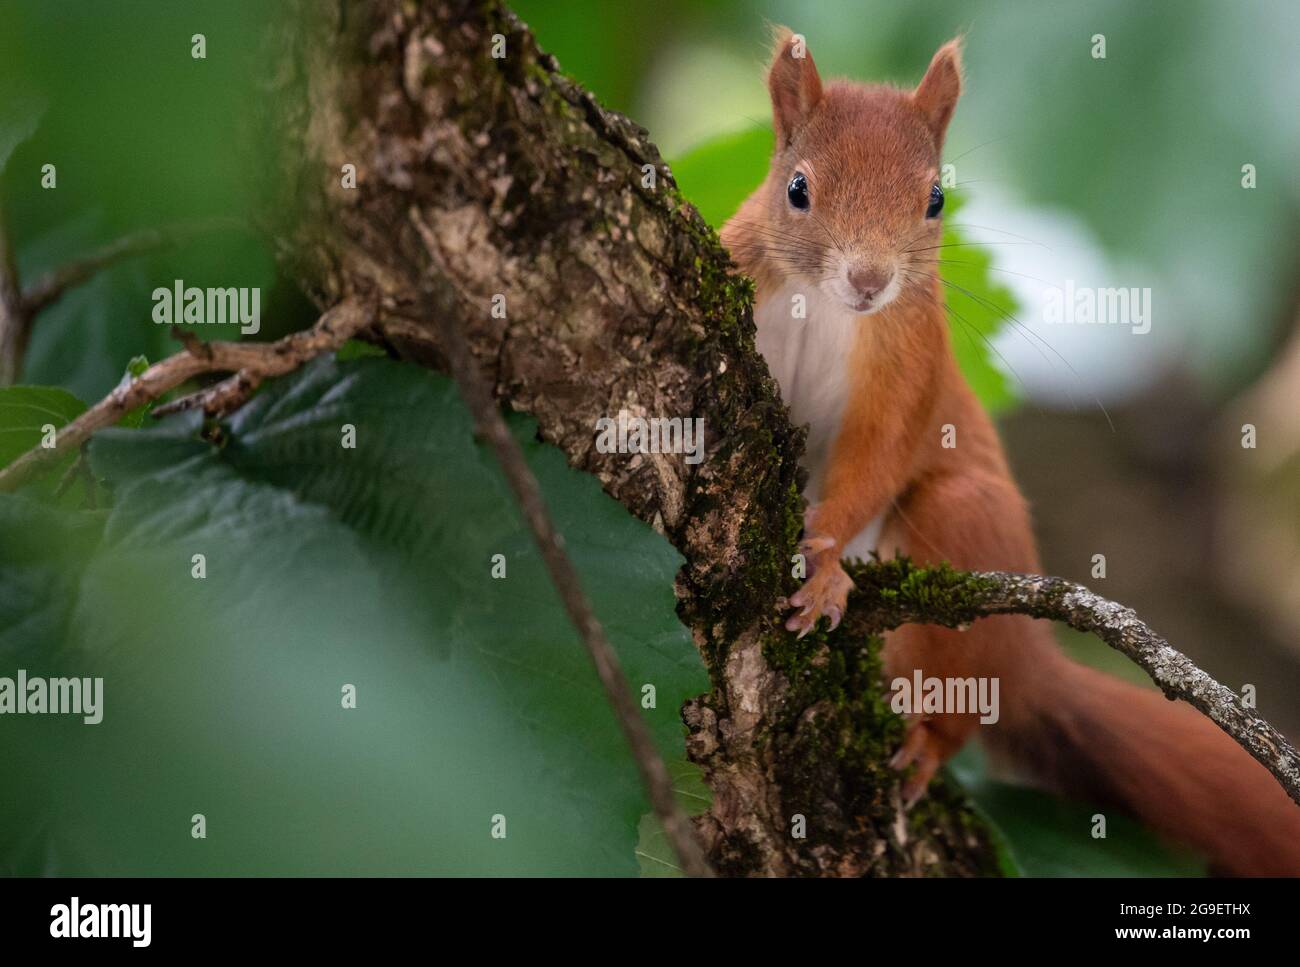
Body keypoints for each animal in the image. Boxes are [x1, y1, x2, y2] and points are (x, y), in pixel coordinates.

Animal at [717, 30, 1300, 878]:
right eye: (796, 189)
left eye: (936, 200)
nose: (869, 279)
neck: (820, 305)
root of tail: (1031, 660)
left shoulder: (913, 363)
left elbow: (880, 453)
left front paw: (823, 564)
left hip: (964, 533)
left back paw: (928, 738)